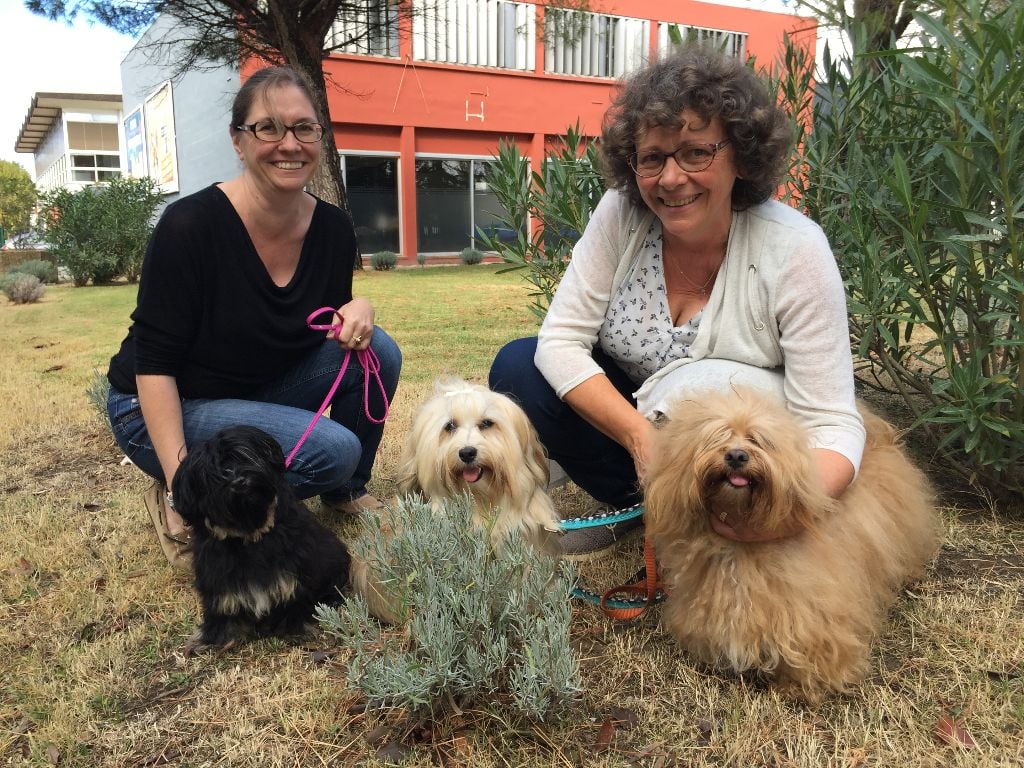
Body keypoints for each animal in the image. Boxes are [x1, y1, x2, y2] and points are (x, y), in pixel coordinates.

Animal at [174, 428, 350, 651]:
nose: (239, 480)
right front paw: (213, 637)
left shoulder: (295, 571)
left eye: (245, 456)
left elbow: (294, 599)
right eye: (212, 474)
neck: (249, 536)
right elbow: (220, 607)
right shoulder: (216, 576)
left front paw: (295, 628)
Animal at [643, 387, 937, 700]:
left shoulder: (811, 622)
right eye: (716, 438)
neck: (738, 546)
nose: (736, 455)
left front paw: (797, 687)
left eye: (758, 440)